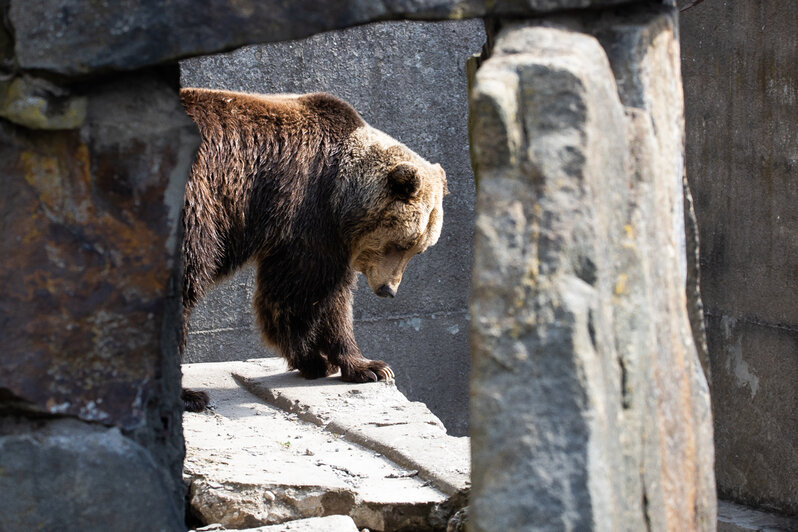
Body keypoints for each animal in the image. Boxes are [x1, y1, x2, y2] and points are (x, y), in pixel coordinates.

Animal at [179, 87, 450, 412]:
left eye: (418, 250)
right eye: (401, 243)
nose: (388, 290)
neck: (341, 197)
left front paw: (338, 363)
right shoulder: (308, 212)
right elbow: (304, 293)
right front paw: (361, 365)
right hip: (194, 201)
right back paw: (188, 394)